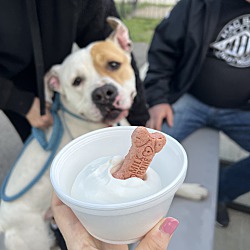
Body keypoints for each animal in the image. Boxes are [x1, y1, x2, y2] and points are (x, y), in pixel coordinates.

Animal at [0, 16, 207, 250]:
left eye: (113, 64)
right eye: (76, 81)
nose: (103, 94)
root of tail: (3, 221)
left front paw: (191, 189)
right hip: (32, 238)